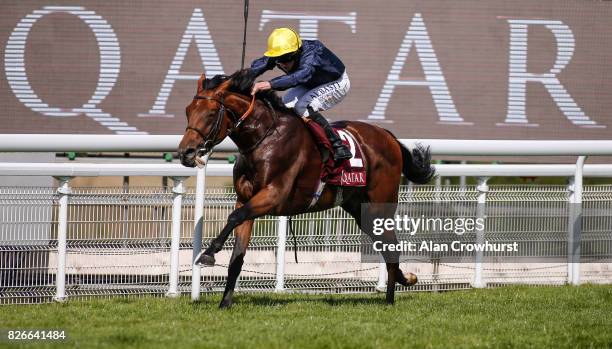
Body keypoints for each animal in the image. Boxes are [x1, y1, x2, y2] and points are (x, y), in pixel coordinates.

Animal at [178, 68, 436, 308]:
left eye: (211, 113)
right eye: (188, 111)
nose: (185, 153)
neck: (263, 137)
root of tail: (389, 136)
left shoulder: (273, 195)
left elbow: (234, 217)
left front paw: (208, 254)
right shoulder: (245, 198)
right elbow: (237, 256)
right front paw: (225, 303)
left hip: (380, 206)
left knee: (392, 247)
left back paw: (390, 300)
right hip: (360, 209)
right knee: (385, 245)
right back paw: (404, 280)